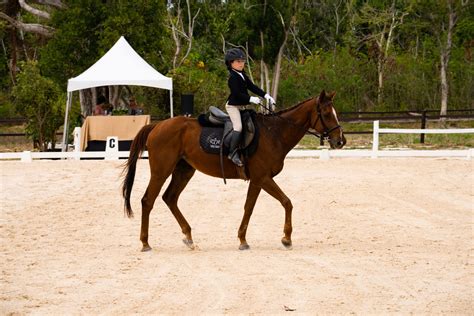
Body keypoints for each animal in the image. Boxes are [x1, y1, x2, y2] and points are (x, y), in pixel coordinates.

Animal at [122, 89, 344, 252]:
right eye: (326, 114)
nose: (341, 141)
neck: (274, 133)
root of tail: (156, 126)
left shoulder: (257, 180)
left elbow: (251, 207)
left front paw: (244, 240)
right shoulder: (262, 178)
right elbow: (284, 203)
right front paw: (286, 239)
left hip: (184, 170)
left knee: (170, 198)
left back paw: (188, 237)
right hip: (161, 170)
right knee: (148, 200)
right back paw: (145, 243)